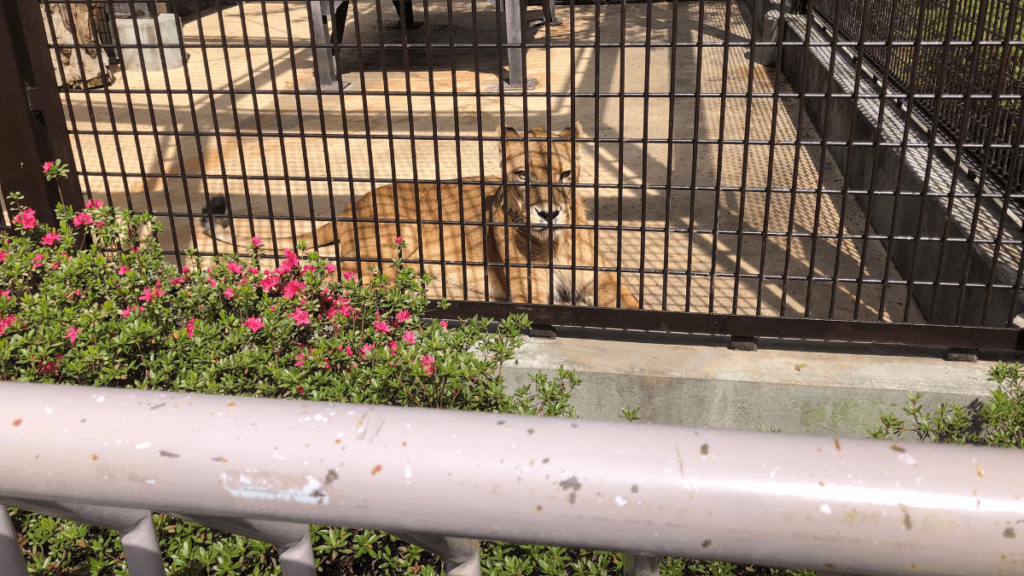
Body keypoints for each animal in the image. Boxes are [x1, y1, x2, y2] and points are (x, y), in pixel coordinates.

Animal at [200, 123, 638, 307]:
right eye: (522, 176)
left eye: (565, 174)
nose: (549, 213)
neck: (553, 241)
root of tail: (349, 206)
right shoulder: (528, 293)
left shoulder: (601, 280)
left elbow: (629, 303)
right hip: (399, 237)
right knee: (351, 282)